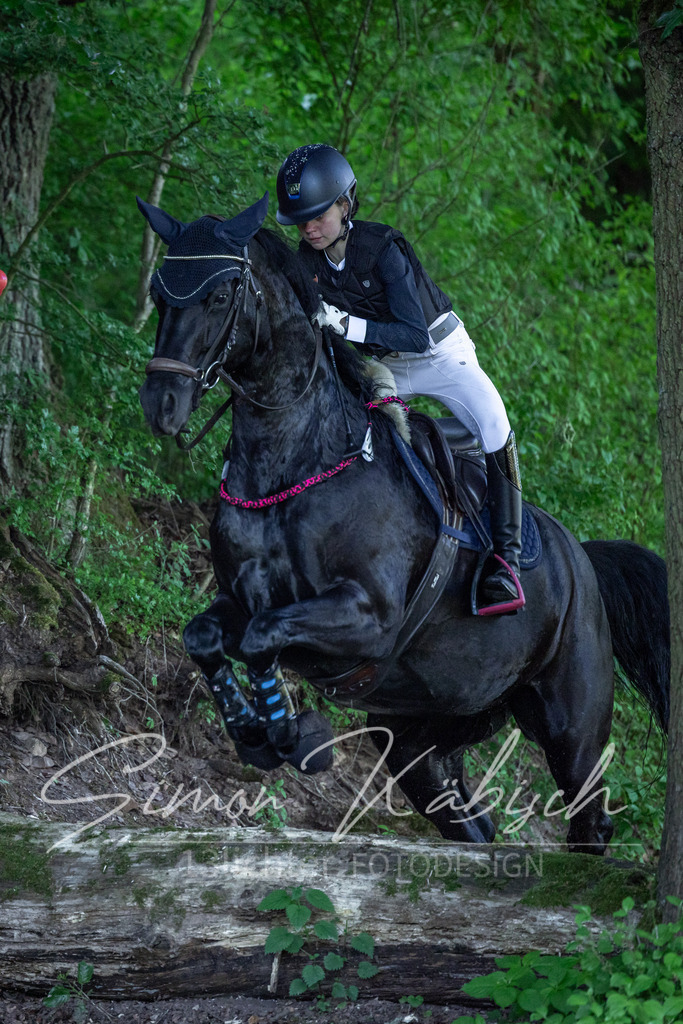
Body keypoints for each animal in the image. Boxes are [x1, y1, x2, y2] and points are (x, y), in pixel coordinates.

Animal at [137, 193, 669, 854]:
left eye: (217, 296)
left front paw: (292, 735)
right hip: (426, 729)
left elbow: (262, 635)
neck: (294, 464)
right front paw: (252, 732)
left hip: (572, 722)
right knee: (467, 817)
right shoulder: (242, 600)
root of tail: (581, 561)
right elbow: (207, 636)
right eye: (160, 295)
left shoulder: (368, 615)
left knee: (588, 815)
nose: (160, 405)